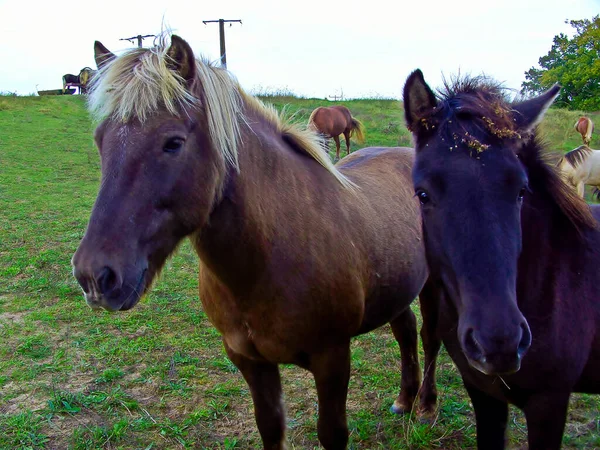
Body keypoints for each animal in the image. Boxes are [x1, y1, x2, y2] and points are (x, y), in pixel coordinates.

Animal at [70, 33, 438, 448]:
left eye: (173, 142)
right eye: (100, 140)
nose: (95, 276)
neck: (269, 257)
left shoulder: (332, 359)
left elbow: (332, 433)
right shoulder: (250, 361)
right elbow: (270, 428)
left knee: (429, 337)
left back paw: (426, 406)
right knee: (405, 330)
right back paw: (404, 399)